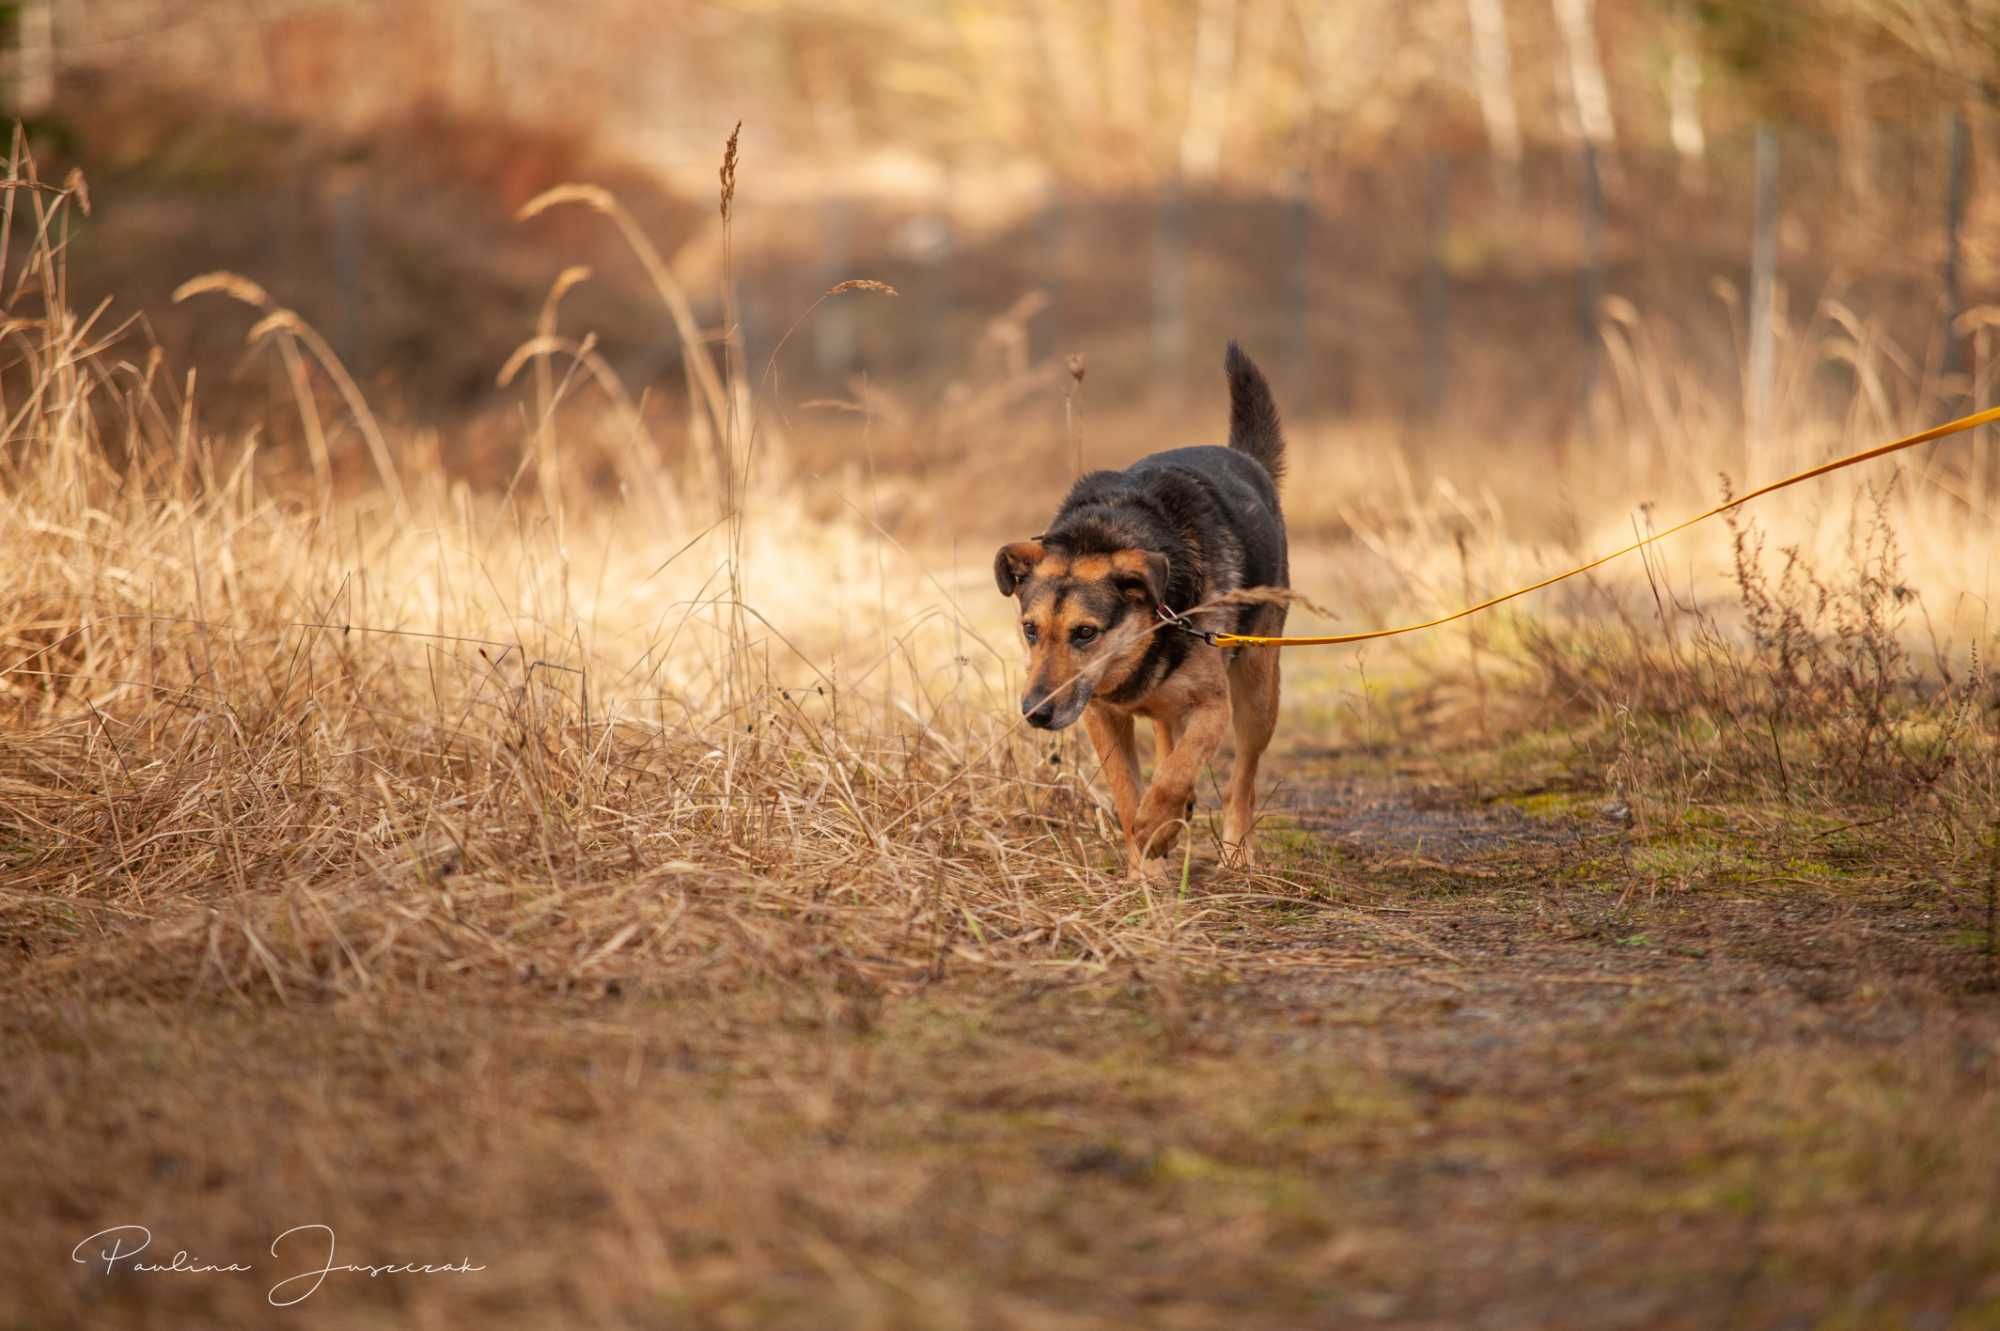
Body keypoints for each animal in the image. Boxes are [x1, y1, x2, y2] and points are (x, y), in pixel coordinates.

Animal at [992, 341, 1288, 875]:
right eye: (1030, 629)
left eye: (1085, 632)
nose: (1036, 713)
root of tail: (1243, 458)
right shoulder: (1101, 716)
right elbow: (1130, 793)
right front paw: (1144, 869)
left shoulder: (1212, 707)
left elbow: (1175, 774)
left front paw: (1158, 827)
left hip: (1257, 691)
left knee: (1242, 779)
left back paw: (1236, 851)